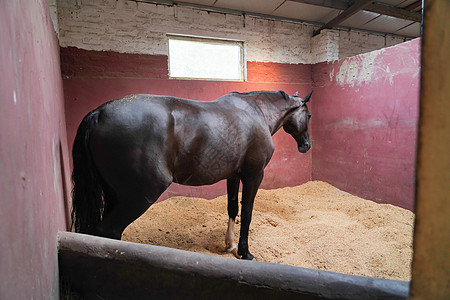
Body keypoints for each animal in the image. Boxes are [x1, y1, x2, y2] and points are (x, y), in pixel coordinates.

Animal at [72, 89, 312, 260]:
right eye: (309, 115)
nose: (307, 145)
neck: (257, 112)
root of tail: (99, 113)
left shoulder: (233, 176)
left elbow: (232, 208)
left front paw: (230, 244)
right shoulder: (254, 176)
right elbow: (247, 213)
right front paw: (245, 252)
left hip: (114, 195)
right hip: (140, 196)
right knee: (109, 230)